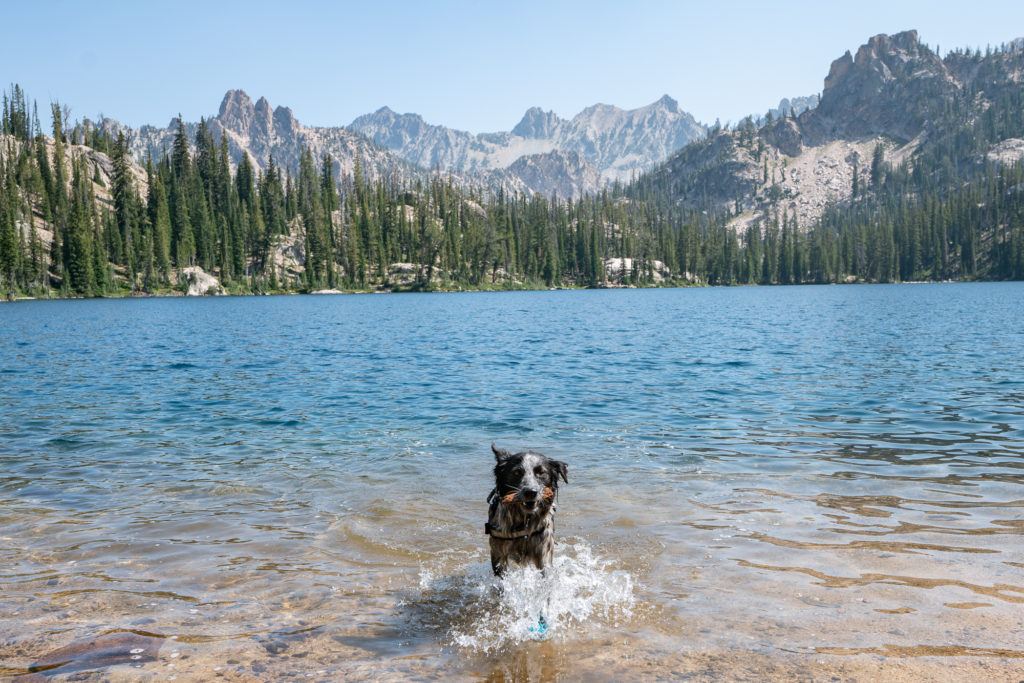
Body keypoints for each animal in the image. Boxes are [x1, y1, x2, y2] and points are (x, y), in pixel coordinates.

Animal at [485, 444, 569, 577]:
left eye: (541, 472)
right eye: (517, 472)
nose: (530, 492)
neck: (523, 521)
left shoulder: (543, 552)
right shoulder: (498, 553)